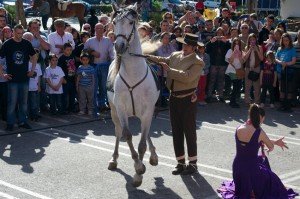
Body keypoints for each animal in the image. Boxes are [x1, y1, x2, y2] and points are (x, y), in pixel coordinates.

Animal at [107, 2, 161, 187]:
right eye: (114, 22)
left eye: (131, 22)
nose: (119, 46)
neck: (133, 74)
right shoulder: (121, 109)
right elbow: (127, 135)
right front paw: (138, 167)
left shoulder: (148, 110)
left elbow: (142, 144)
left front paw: (139, 172)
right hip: (114, 112)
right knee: (117, 132)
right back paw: (114, 159)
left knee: (148, 131)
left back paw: (153, 156)